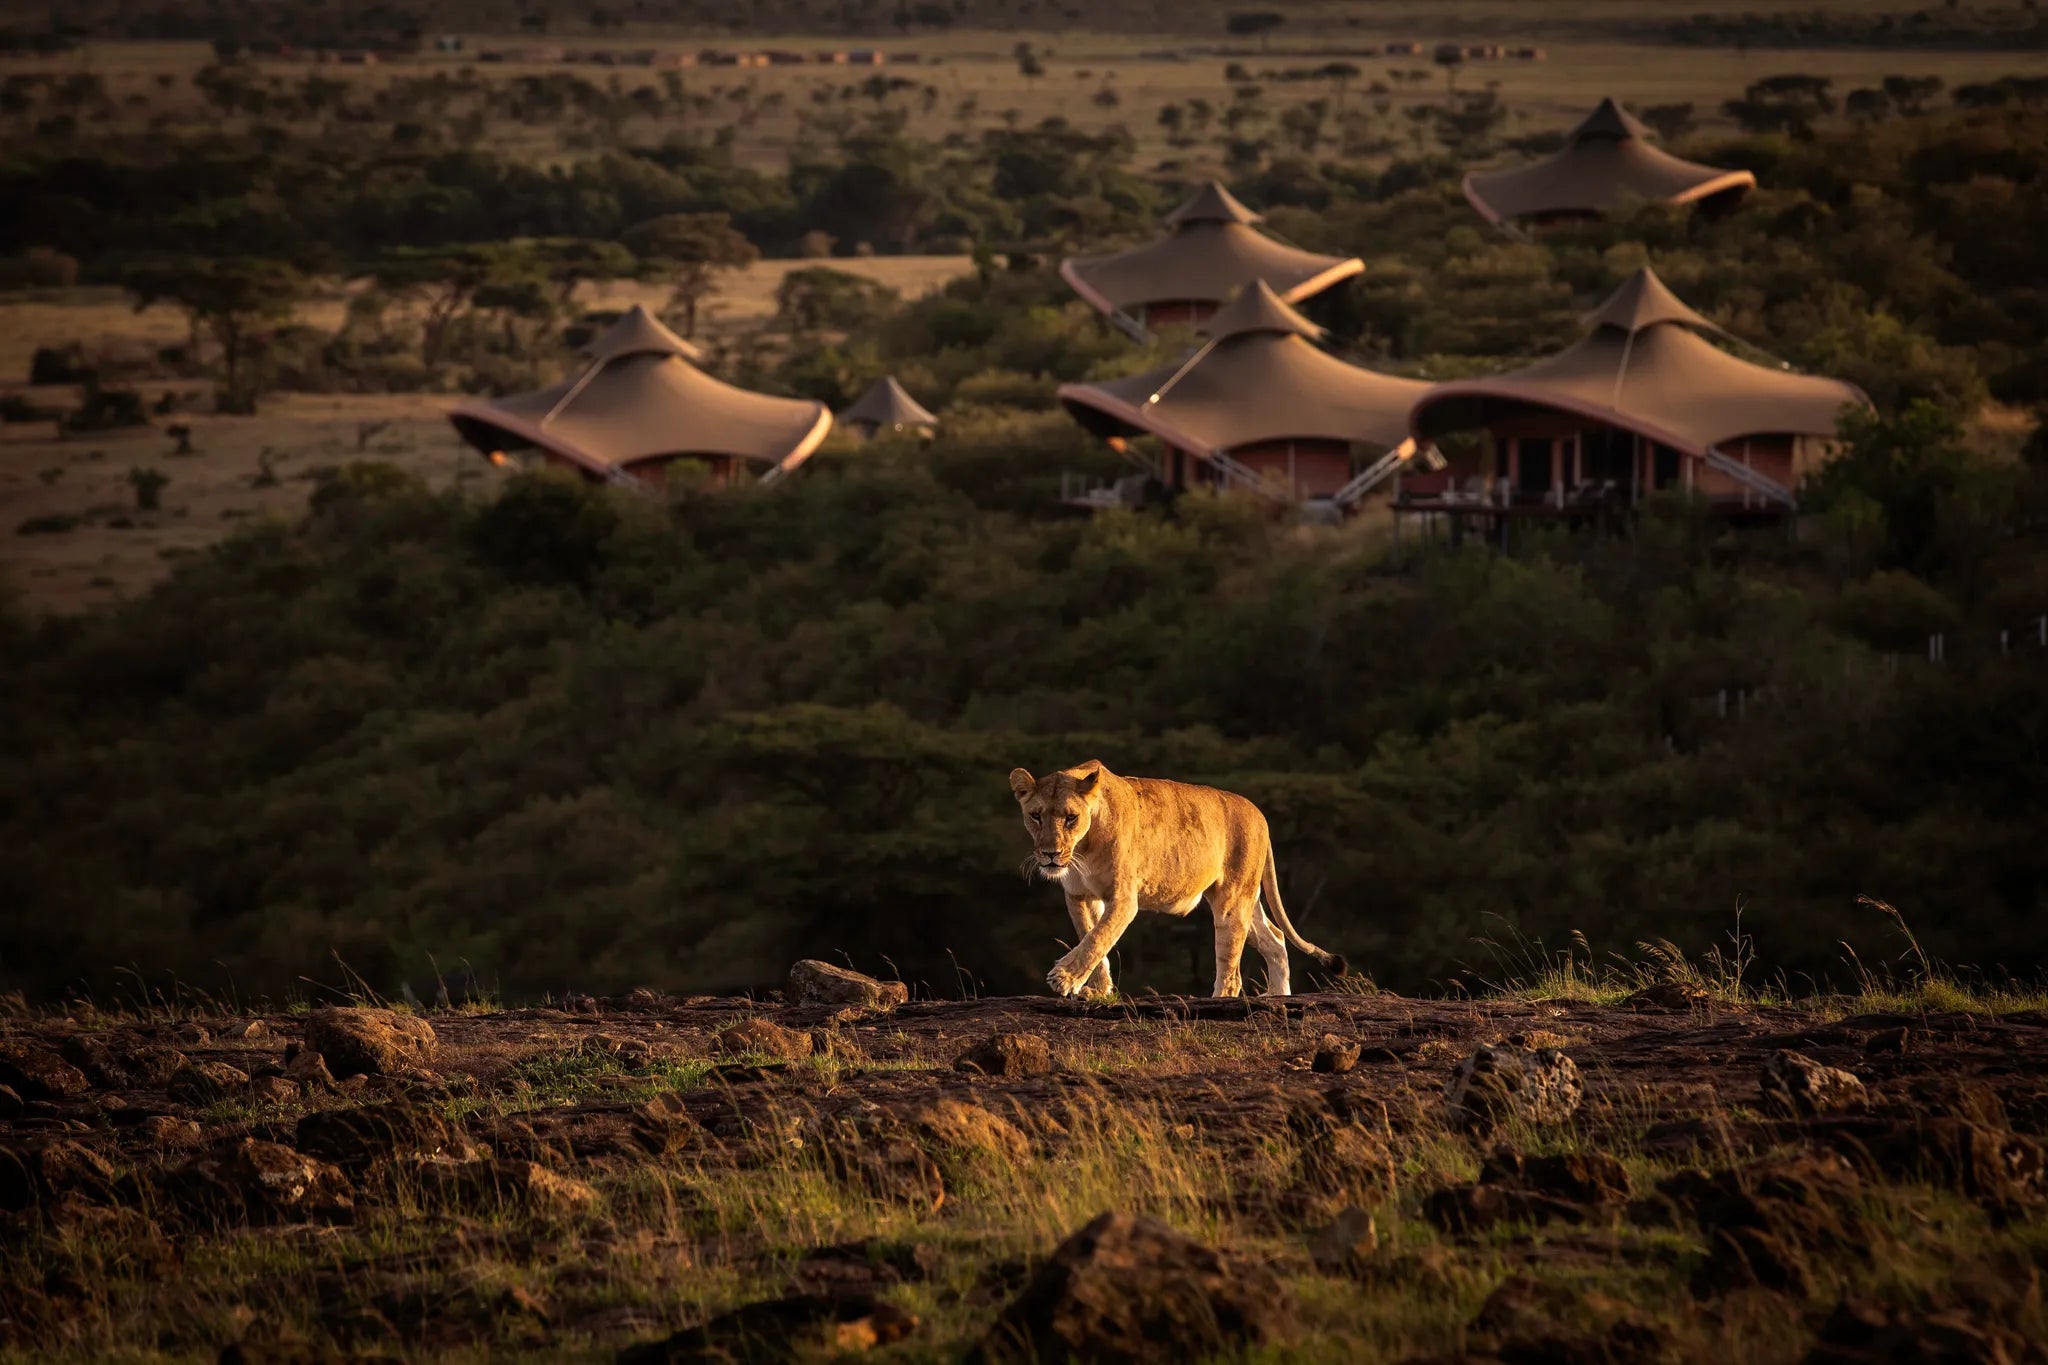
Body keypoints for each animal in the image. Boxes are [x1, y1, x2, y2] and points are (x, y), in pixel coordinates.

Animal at [1007, 760, 1348, 999]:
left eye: (1071, 817)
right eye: (1035, 816)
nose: (1050, 854)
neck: (1083, 847)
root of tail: (1259, 814)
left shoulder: (1123, 898)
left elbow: (1097, 938)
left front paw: (1063, 978)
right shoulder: (1079, 896)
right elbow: (1091, 938)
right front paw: (1099, 991)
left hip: (1232, 901)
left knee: (1232, 972)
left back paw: (1222, 1000)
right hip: (1246, 899)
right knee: (1275, 939)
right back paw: (1278, 996)